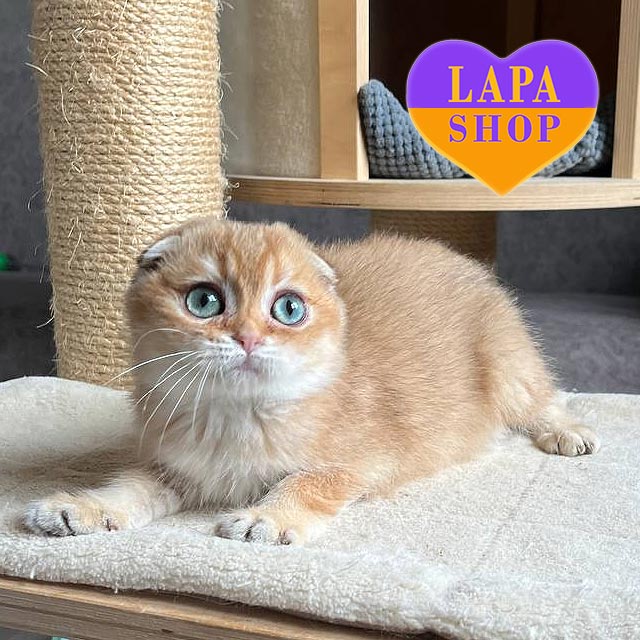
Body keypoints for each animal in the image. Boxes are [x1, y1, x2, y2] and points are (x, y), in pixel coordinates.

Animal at [24, 218, 599, 545]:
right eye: (204, 301)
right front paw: (83, 507)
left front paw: (269, 516)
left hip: (508, 366)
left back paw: (566, 432)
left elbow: (308, 480)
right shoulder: (176, 466)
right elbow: (129, 487)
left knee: (542, 398)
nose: (248, 338)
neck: (239, 416)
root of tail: (464, 260)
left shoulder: (365, 460)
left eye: (288, 309)